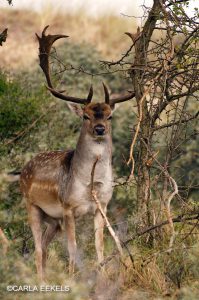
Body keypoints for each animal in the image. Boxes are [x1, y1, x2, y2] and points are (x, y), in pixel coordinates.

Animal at [20, 26, 134, 282]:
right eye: (86, 115)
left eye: (110, 115)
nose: (100, 129)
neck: (90, 184)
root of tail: (23, 169)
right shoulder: (68, 208)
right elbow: (73, 249)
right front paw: (73, 279)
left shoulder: (102, 207)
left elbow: (100, 247)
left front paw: (101, 277)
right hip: (32, 205)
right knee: (38, 249)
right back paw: (42, 283)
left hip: (53, 220)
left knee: (43, 247)